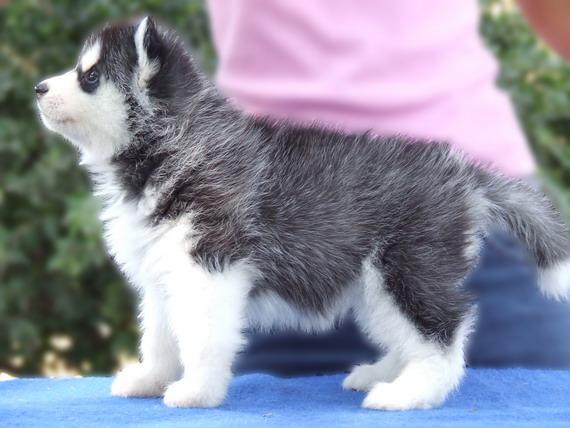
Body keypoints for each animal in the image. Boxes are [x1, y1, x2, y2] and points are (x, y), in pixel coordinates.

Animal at [36, 16, 570, 410]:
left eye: (90, 77)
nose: (38, 88)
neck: (180, 138)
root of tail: (463, 174)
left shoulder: (208, 268)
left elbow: (202, 337)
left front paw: (195, 392)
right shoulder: (166, 271)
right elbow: (162, 335)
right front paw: (151, 378)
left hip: (406, 267)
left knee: (443, 332)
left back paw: (408, 392)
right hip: (375, 285)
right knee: (410, 334)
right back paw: (382, 371)